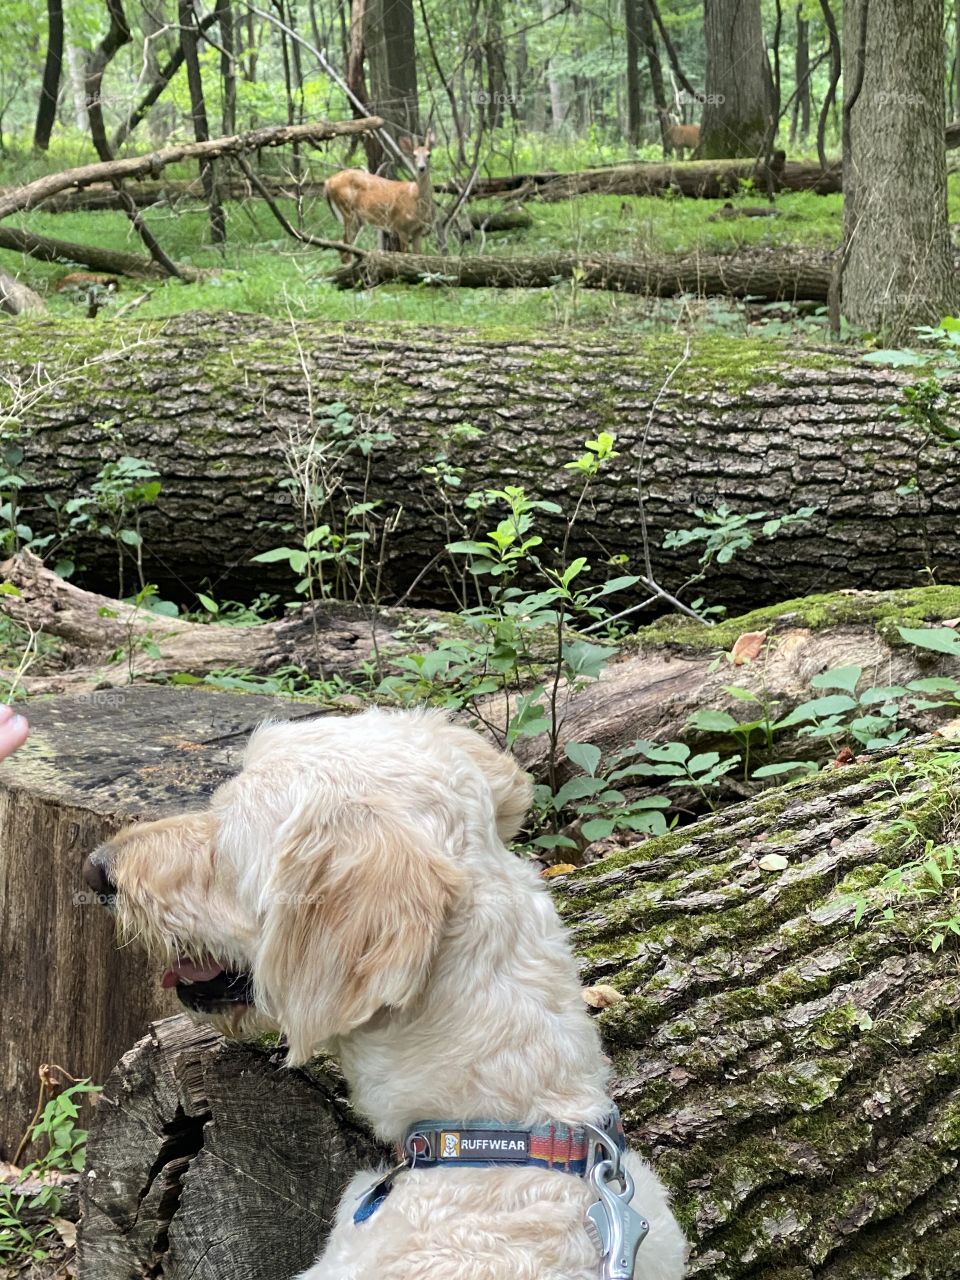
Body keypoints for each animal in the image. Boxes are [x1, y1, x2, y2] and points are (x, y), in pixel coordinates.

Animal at [324, 132, 436, 264]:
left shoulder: (418, 230)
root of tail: (328, 182)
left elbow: (418, 255)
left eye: (429, 155)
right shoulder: (401, 226)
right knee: (344, 244)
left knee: (344, 245)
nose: (421, 167)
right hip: (347, 209)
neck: (416, 198)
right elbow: (405, 254)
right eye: (414, 155)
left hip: (357, 219)